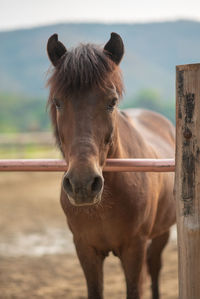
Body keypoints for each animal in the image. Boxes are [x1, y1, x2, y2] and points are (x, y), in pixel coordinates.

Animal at [46, 32, 175, 299]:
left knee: (155, 267)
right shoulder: (85, 250)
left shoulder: (134, 248)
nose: (83, 185)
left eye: (112, 101)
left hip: (161, 233)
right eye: (58, 102)